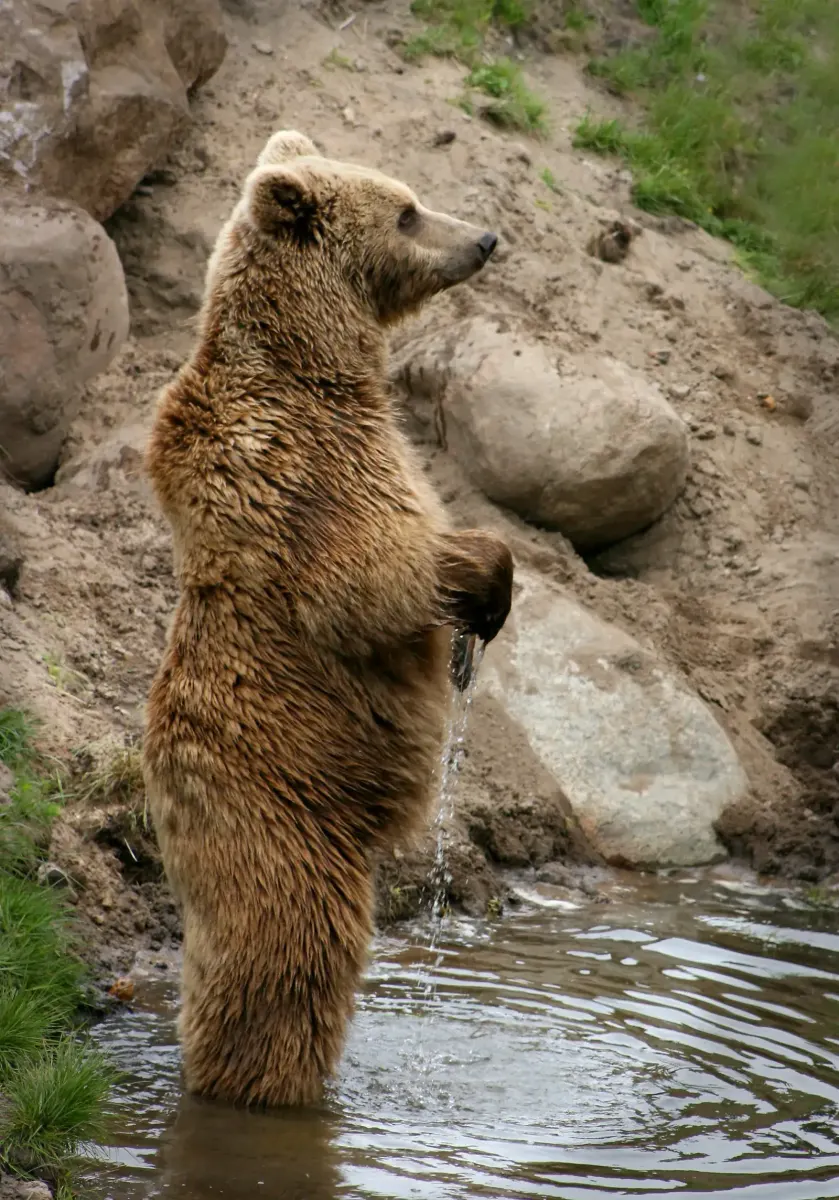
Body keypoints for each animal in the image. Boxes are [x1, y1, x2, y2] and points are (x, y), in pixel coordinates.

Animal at [142, 130, 514, 1108]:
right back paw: (265, 1084)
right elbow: (367, 578)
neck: (314, 363)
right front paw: (485, 584)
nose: (485, 237)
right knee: (291, 958)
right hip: (282, 818)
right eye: (408, 211)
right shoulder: (305, 468)